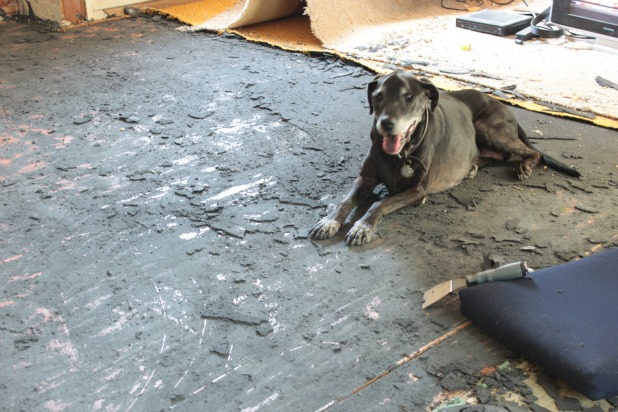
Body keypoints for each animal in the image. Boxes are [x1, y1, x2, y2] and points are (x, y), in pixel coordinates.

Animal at [310, 69, 580, 246]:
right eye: (378, 96)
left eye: (409, 97)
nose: (386, 124)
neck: (402, 154)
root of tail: (503, 105)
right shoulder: (364, 179)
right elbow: (345, 200)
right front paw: (329, 221)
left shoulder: (418, 192)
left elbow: (380, 203)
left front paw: (362, 226)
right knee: (497, 155)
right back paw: (473, 167)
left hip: (488, 128)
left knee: (531, 152)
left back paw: (524, 167)